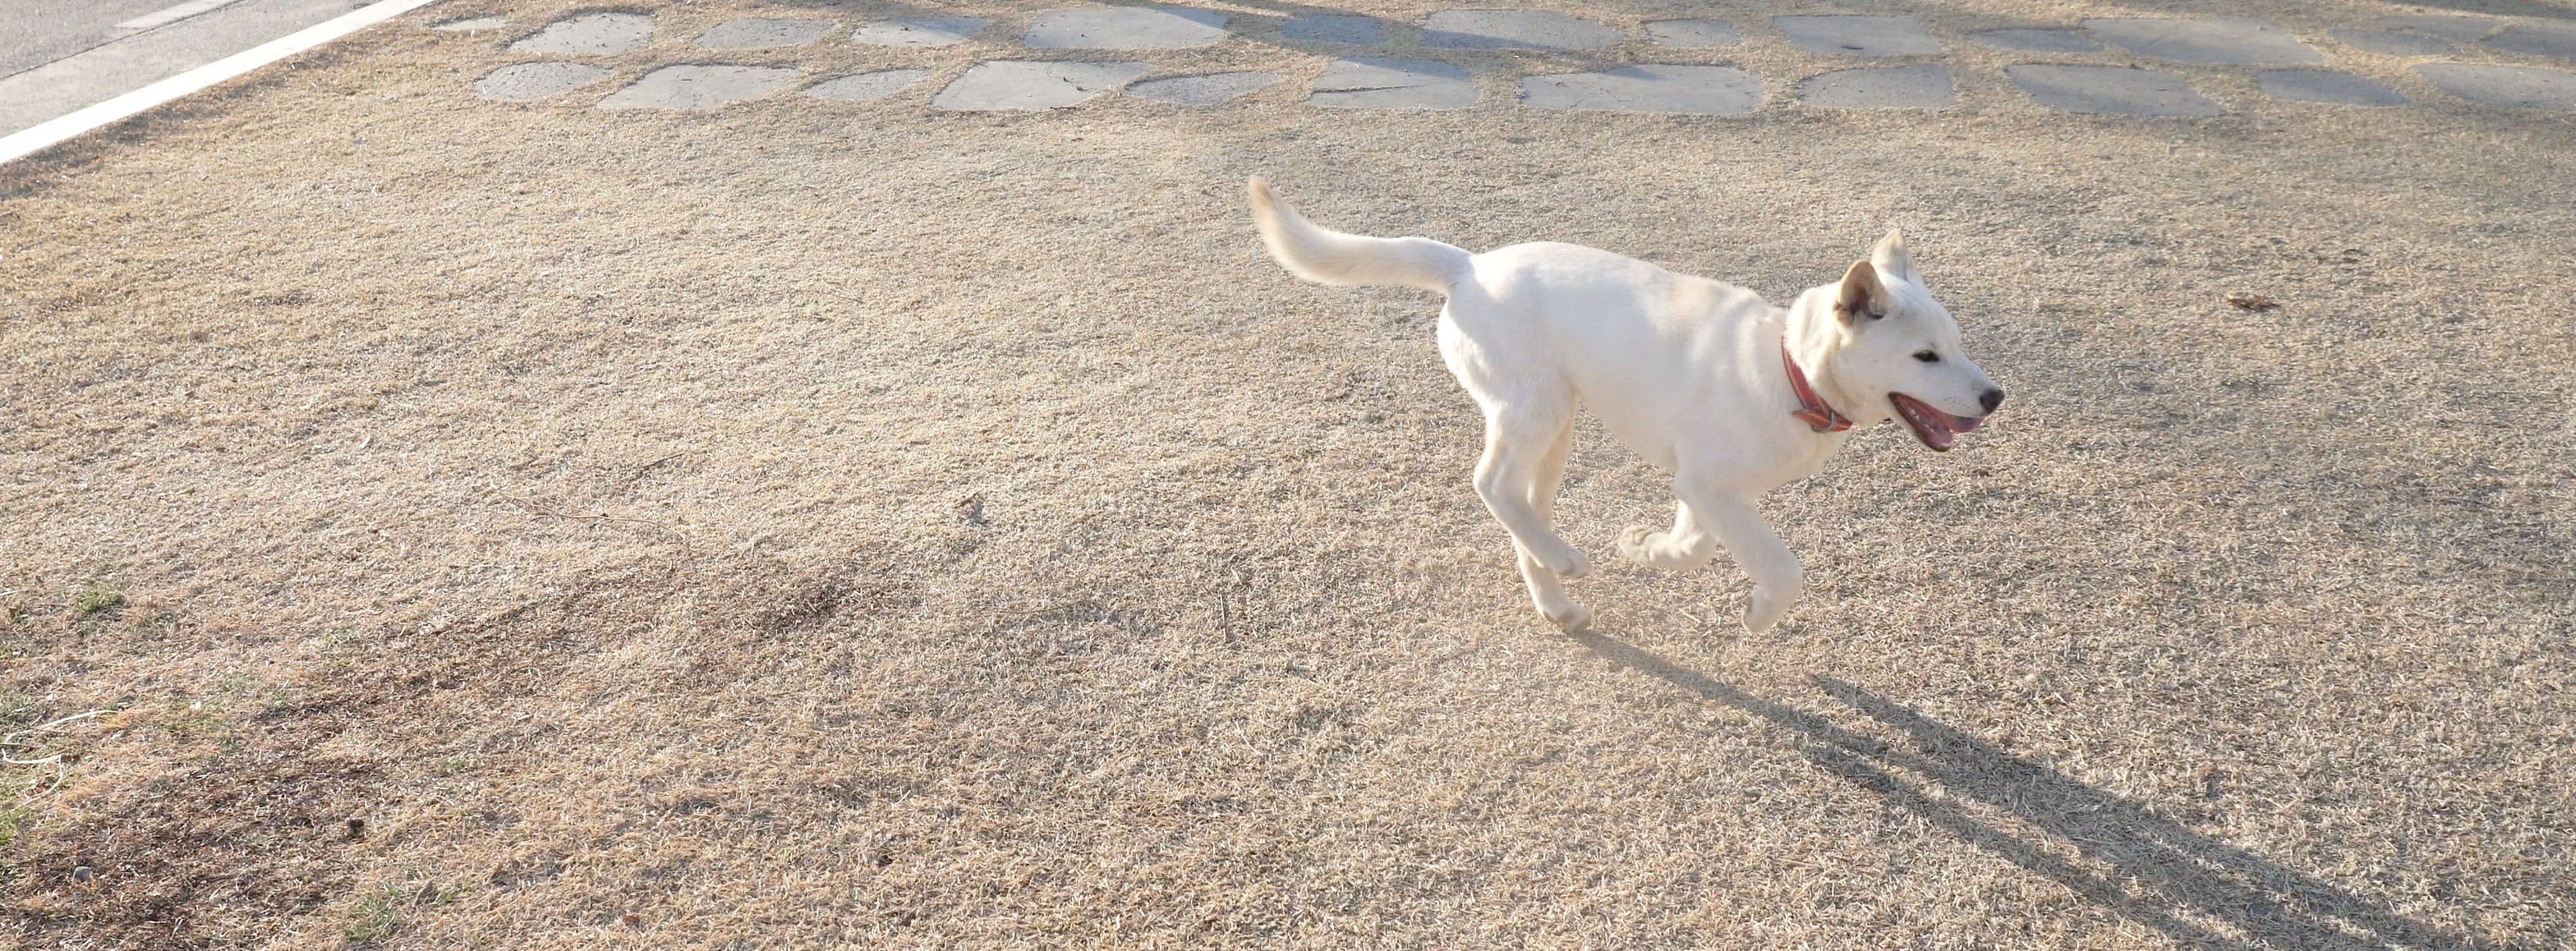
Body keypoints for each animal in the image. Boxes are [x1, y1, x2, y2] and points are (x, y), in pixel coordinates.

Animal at [1246, 176, 2003, 632]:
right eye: (1925, 358)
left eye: (1958, 345)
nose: (1996, 397)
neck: (1789, 370)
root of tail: (1469, 266)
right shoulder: (1712, 487)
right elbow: (1782, 569)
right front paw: (1759, 613)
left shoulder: (1701, 487)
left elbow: (1693, 546)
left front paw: (1648, 551)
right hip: (1534, 409)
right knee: (1489, 484)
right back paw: (1565, 562)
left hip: (1555, 433)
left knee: (1521, 508)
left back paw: (1555, 592)